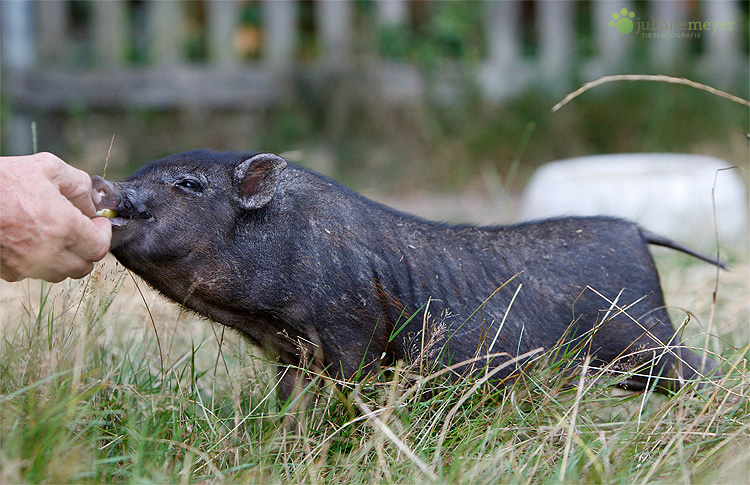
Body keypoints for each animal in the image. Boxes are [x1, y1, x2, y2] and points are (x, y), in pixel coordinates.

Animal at [91, 149, 724, 398]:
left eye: (188, 184)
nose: (108, 185)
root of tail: (637, 232)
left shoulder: (349, 331)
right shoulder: (288, 351)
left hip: (645, 339)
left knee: (701, 366)